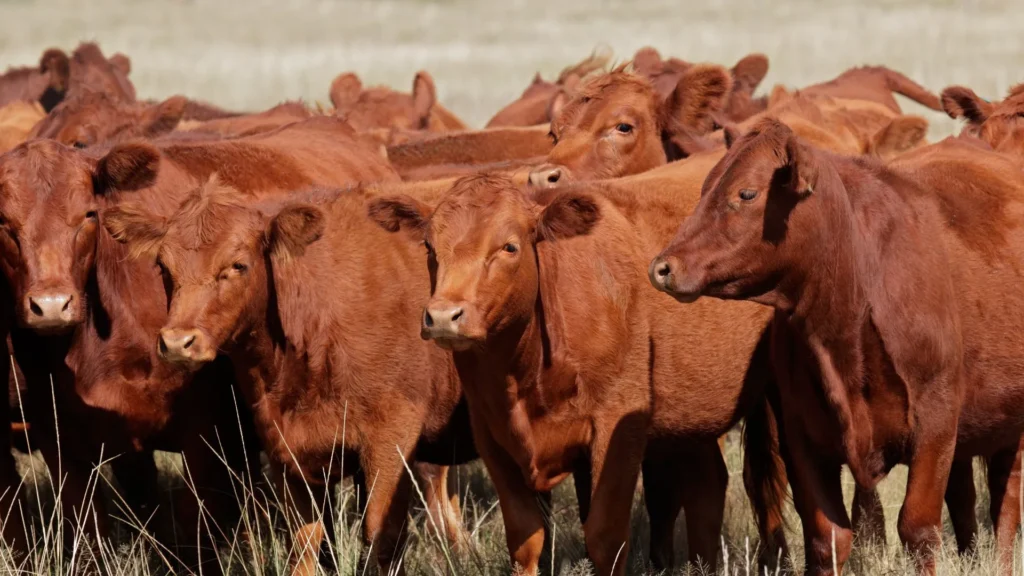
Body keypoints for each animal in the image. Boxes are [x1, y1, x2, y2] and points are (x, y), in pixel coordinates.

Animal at [0, 117, 399, 572]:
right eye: (4, 223)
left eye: (88, 214)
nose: (51, 305)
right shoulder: (62, 442)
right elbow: (89, 533)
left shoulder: (205, 438)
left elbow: (195, 537)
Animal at [103, 179, 476, 576]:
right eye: (163, 267)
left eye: (238, 265)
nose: (177, 342)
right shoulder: (287, 450)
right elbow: (304, 545)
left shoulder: (392, 438)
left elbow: (381, 536)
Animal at [367, 173, 796, 575]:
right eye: (429, 247)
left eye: (509, 247)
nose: (443, 316)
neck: (522, 375)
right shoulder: (491, 435)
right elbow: (525, 538)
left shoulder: (618, 424)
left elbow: (605, 536)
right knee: (707, 486)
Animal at [649, 119, 1024, 575]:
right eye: (704, 187)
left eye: (747, 193)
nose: (663, 267)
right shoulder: (800, 435)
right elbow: (827, 537)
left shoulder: (935, 422)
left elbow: (918, 528)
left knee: (1006, 501)